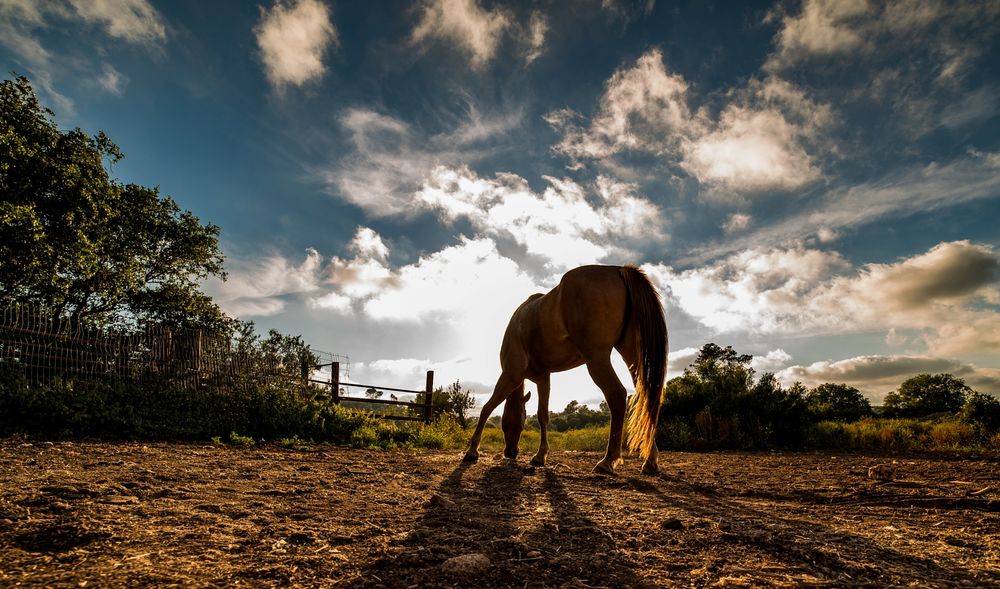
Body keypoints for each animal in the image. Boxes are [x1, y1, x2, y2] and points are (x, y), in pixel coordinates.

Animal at [463, 264, 667, 474]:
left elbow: (487, 408)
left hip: (597, 359)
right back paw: (650, 460)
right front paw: (540, 456)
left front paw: (472, 451)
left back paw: (608, 460)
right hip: (633, 357)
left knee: (617, 395)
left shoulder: (511, 375)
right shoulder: (543, 378)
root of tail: (618, 269)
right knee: (647, 399)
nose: (511, 452)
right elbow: (543, 415)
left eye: (518, 421)